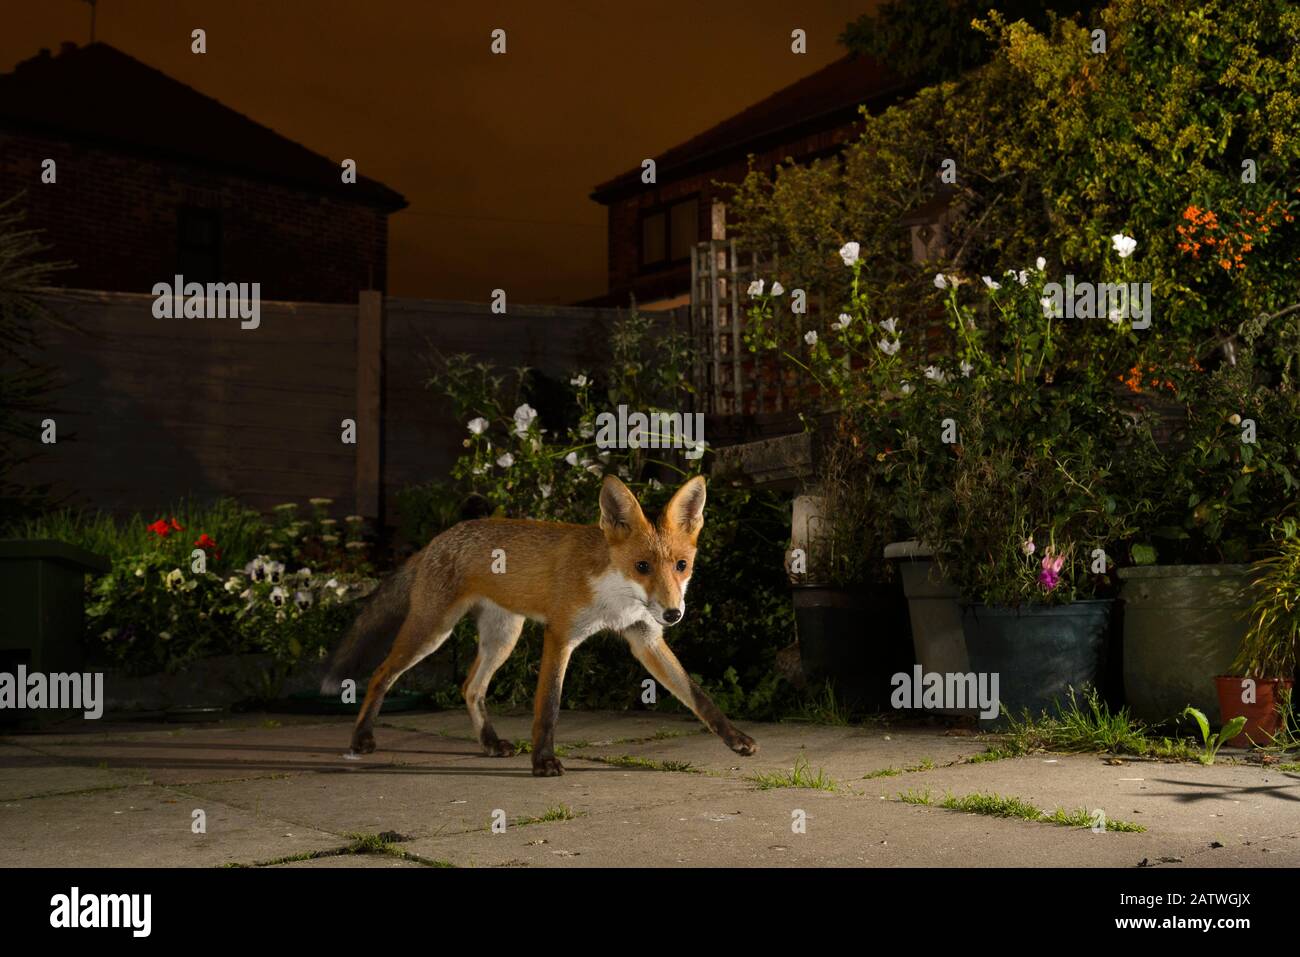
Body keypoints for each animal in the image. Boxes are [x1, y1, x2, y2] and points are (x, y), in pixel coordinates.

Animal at [318, 475, 759, 774]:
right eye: (642, 567)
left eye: (681, 565)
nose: (673, 614)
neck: (614, 598)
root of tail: (436, 540)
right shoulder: (561, 634)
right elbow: (548, 705)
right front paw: (544, 761)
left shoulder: (644, 637)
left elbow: (698, 696)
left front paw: (735, 739)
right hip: (432, 632)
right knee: (381, 674)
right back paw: (361, 738)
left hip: (503, 637)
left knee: (471, 687)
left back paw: (489, 743)